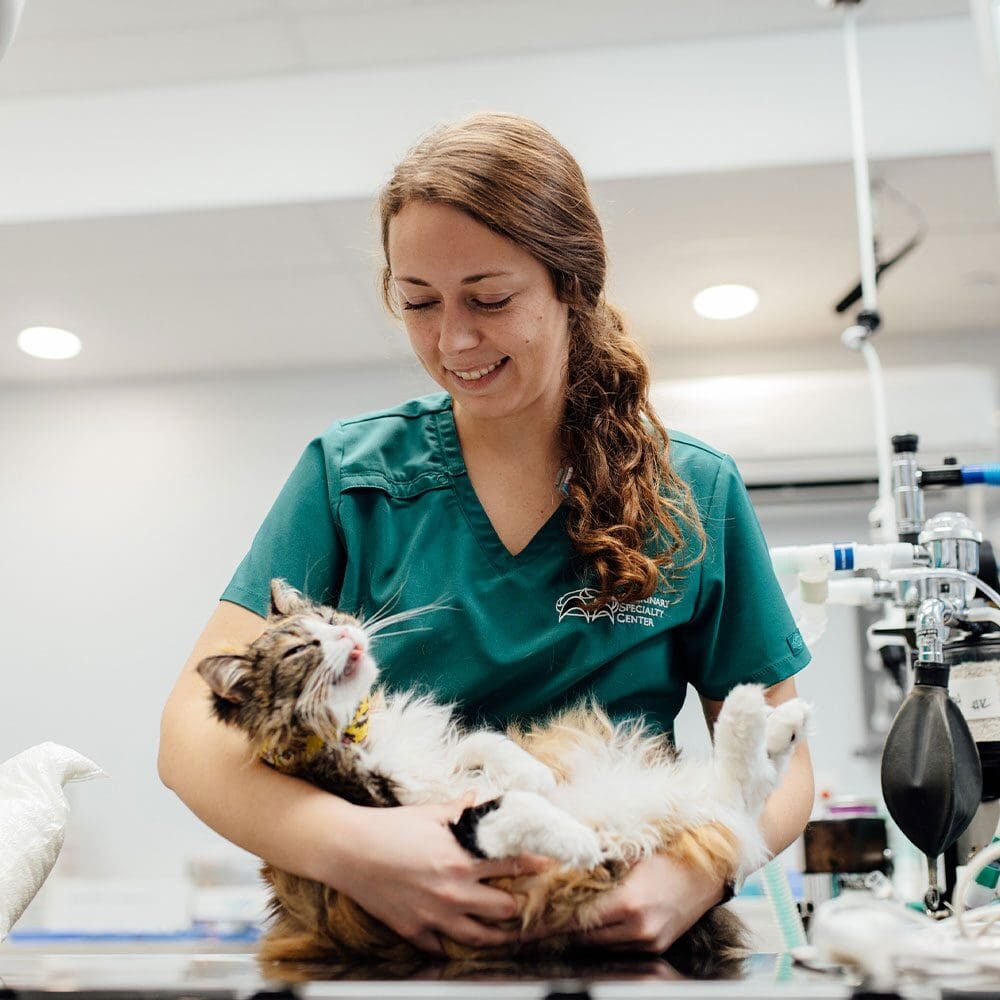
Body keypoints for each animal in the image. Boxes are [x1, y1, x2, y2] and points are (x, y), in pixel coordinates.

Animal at [197, 580, 812, 968]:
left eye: (329, 619)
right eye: (300, 649)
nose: (348, 638)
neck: (356, 730)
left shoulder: (448, 752)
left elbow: (486, 746)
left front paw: (532, 774)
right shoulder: (450, 827)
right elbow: (519, 812)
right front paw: (581, 842)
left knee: (745, 791)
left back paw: (777, 718)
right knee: (736, 795)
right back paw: (753, 712)